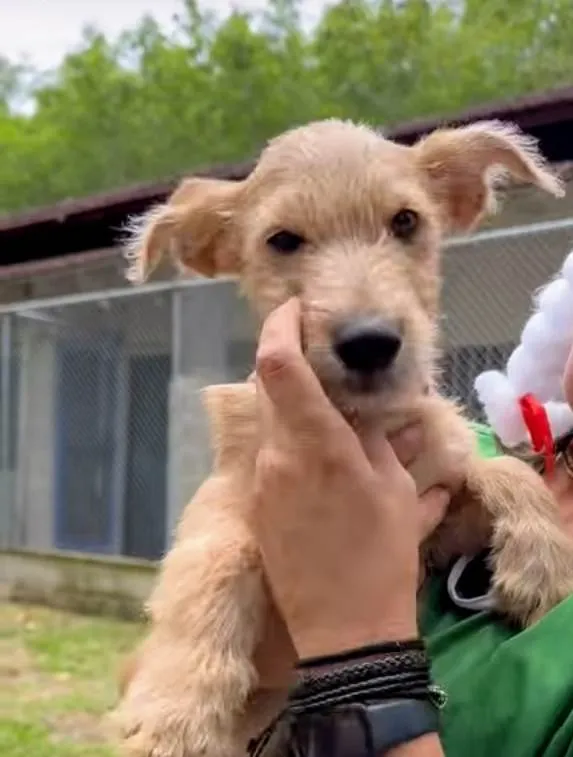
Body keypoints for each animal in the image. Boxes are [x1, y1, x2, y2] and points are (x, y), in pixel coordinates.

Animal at [111, 118, 572, 756]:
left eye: (406, 221)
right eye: (282, 240)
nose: (370, 343)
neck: (359, 423)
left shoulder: (434, 516)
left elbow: (493, 468)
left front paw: (544, 564)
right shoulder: (223, 500)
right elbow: (219, 558)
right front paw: (174, 717)